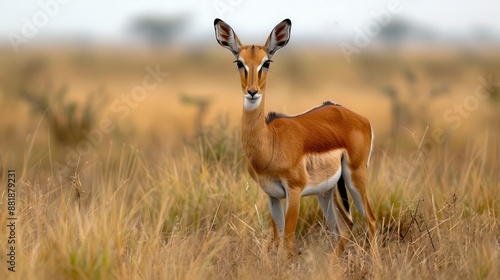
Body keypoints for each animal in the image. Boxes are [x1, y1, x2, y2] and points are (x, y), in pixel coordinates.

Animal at [214, 17, 376, 254]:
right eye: (239, 62)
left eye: (267, 62)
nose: (252, 91)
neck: (270, 143)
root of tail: (356, 116)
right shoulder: (272, 195)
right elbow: (277, 240)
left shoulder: (294, 192)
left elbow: (288, 243)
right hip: (327, 192)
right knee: (344, 227)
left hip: (355, 176)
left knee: (370, 221)